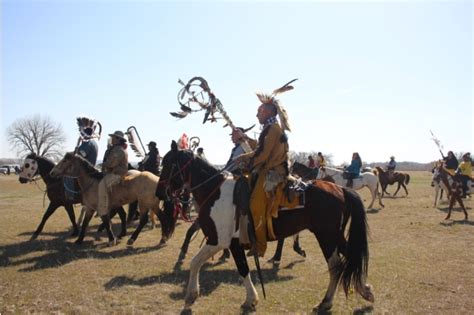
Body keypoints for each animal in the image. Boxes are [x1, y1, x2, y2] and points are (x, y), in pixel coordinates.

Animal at [156, 143, 374, 314]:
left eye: (167, 163)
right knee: (350, 257)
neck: (215, 191)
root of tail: (340, 189)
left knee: (336, 266)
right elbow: (239, 268)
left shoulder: (219, 241)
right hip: (335, 235)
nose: (159, 193)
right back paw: (365, 291)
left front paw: (192, 296)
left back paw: (326, 302)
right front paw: (250, 299)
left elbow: (201, 263)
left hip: (326, 236)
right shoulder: (231, 243)